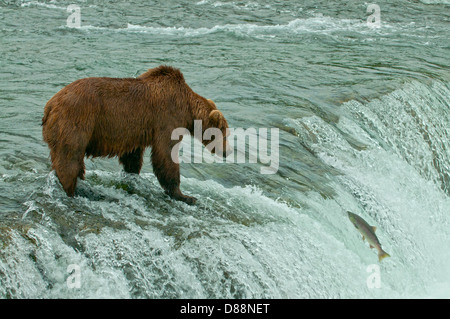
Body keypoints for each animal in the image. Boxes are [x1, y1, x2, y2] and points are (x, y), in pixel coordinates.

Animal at [41, 65, 230, 205]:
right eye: (224, 132)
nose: (227, 152)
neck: (187, 107)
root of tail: (50, 106)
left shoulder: (138, 131)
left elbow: (132, 156)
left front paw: (132, 175)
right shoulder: (167, 118)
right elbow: (165, 154)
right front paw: (185, 196)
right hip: (75, 121)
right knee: (69, 159)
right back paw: (70, 191)